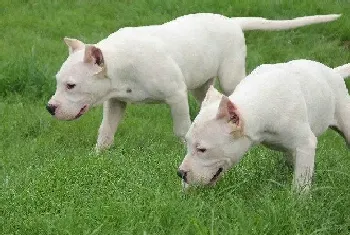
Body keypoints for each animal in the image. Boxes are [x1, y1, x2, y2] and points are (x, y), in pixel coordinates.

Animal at [45, 13, 340, 152]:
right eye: (60, 82)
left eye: (71, 85)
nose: (50, 108)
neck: (120, 63)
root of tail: (232, 21)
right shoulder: (116, 101)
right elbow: (106, 130)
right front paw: (98, 155)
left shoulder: (175, 95)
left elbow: (180, 129)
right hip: (202, 87)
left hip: (230, 76)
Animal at [178, 59, 350, 192]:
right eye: (187, 144)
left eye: (202, 150)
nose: (180, 173)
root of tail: (333, 72)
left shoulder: (305, 144)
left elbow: (301, 179)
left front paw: (298, 201)